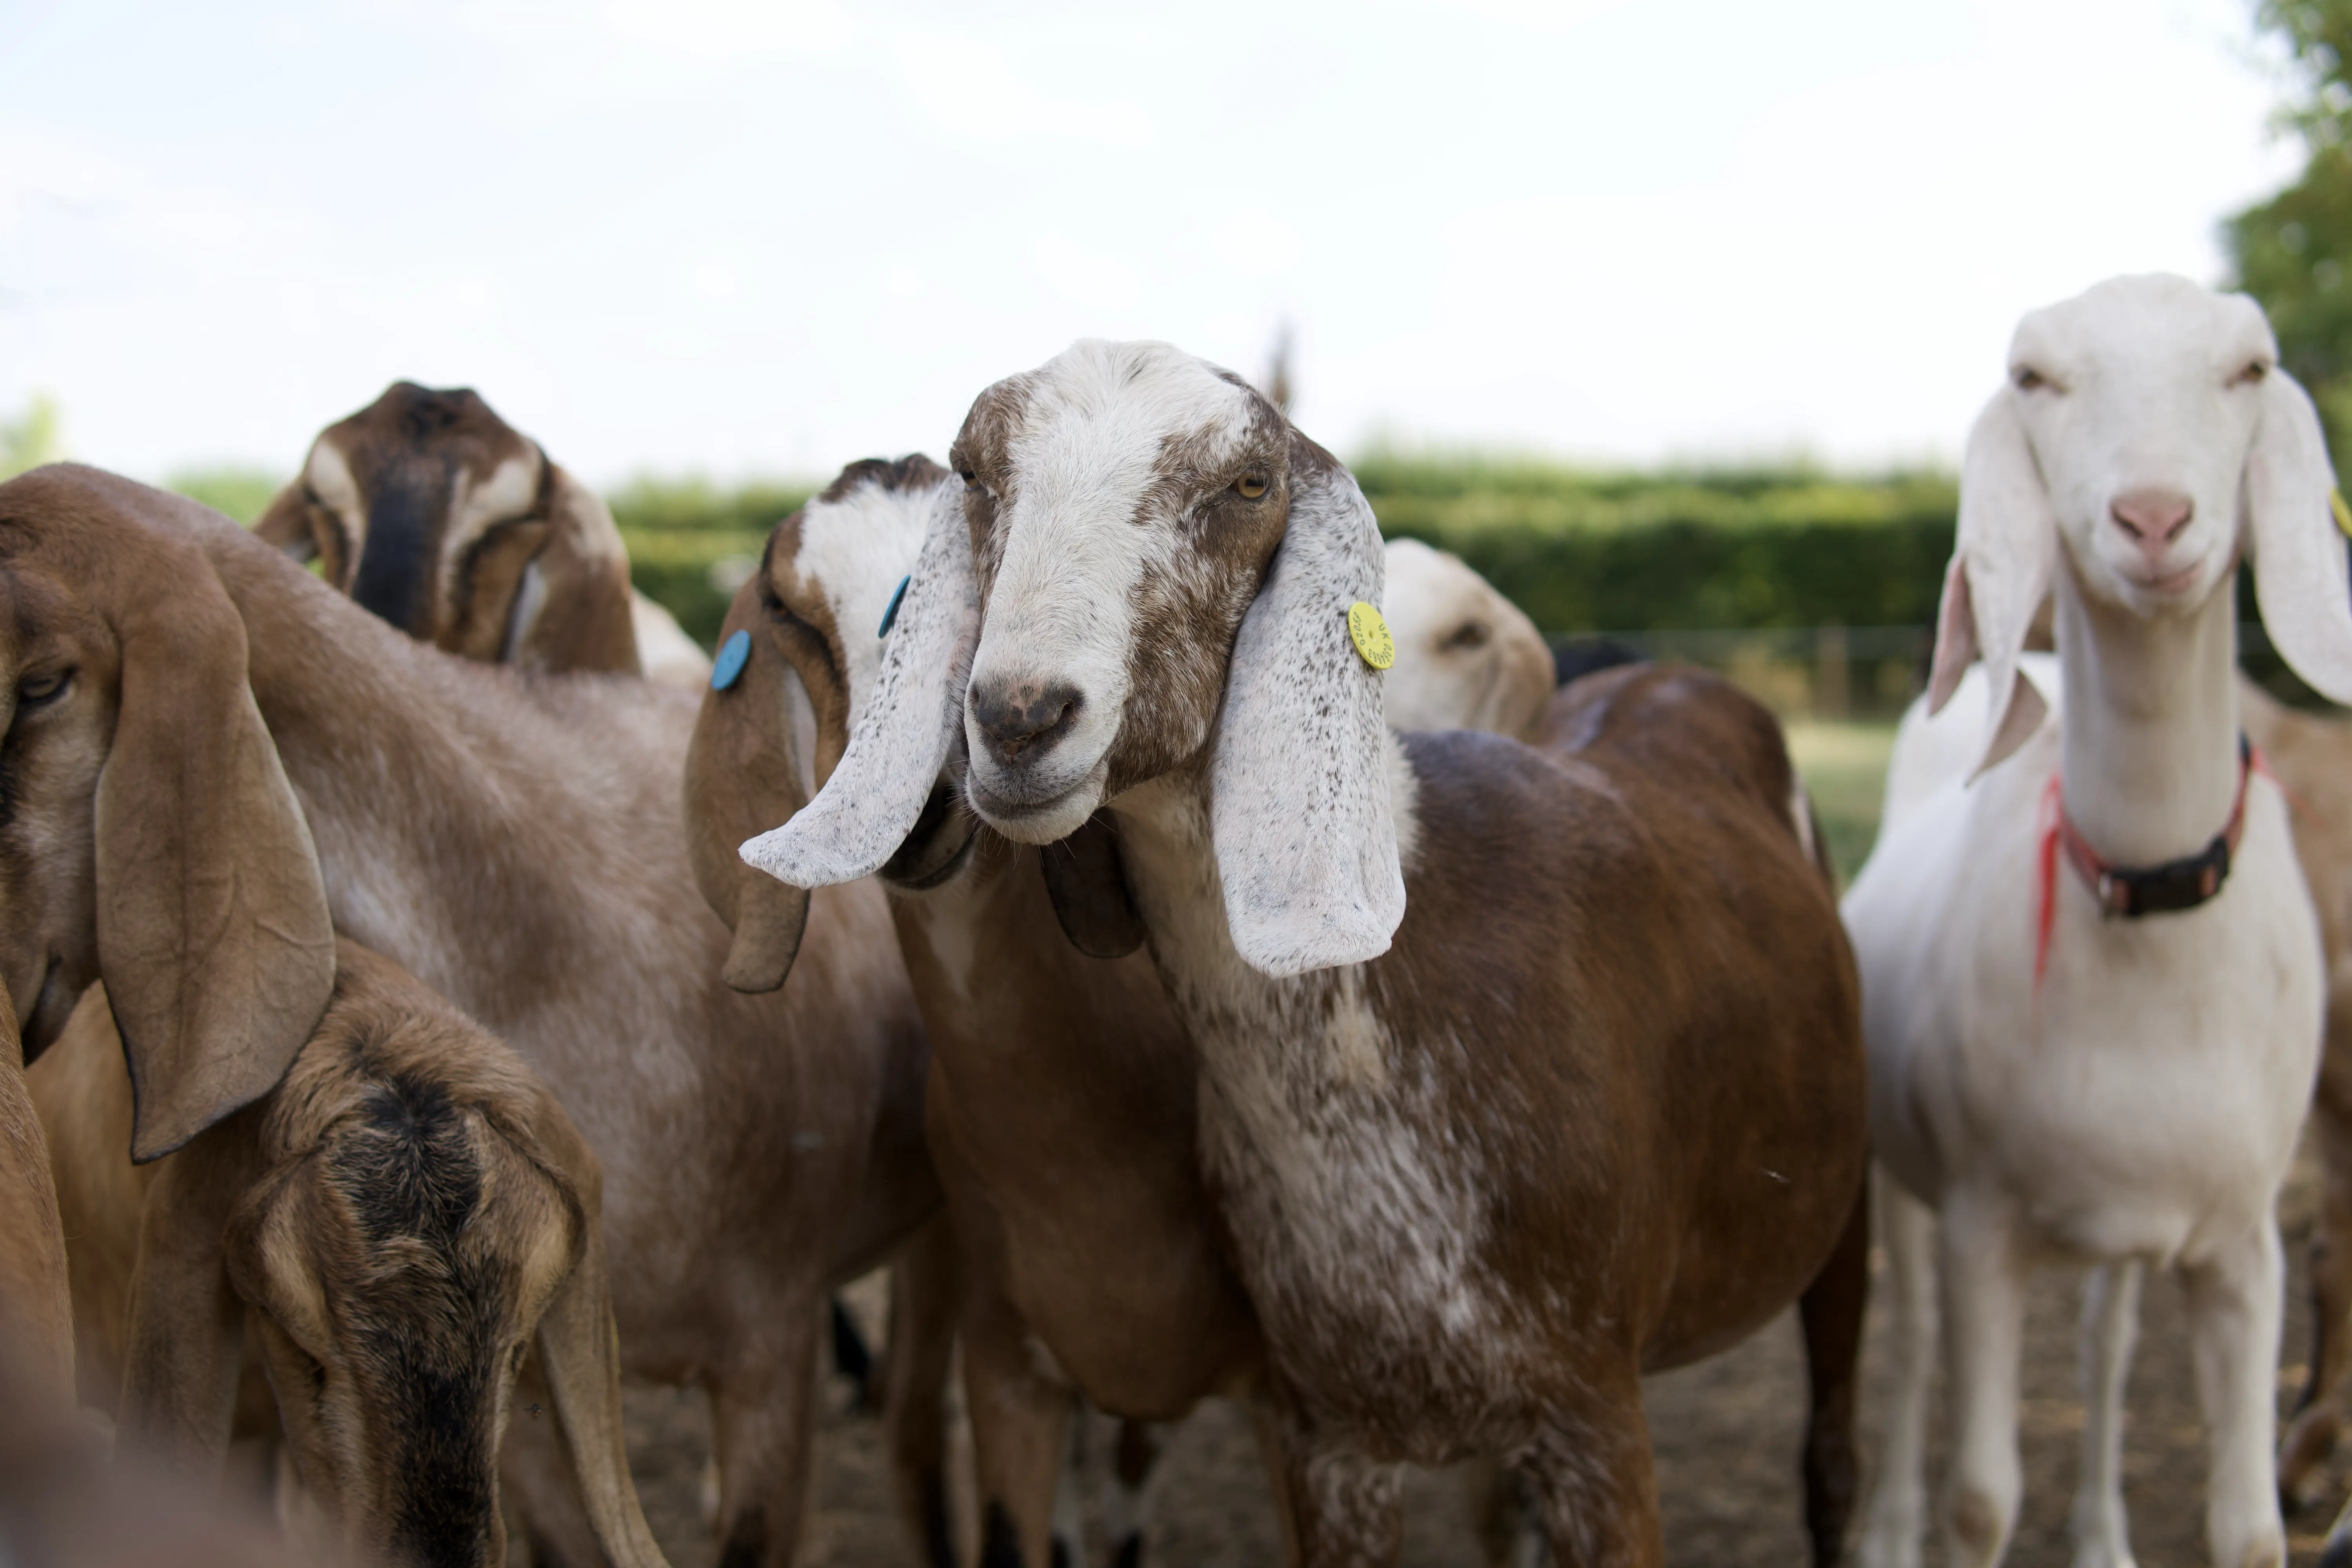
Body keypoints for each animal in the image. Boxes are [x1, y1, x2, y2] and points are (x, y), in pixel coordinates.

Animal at [734, 340, 1872, 1566]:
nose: (1019, 717)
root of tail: (1663, 674)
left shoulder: (1595, 1421)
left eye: (1249, 484)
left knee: (1832, 1461)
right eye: (977, 472)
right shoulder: (1334, 1435)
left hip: (1838, 1215)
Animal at [1843, 275, 2352, 1568]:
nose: (2154, 519)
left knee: (2106, 1351)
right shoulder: (1982, 1224)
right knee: (1908, 1340)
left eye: (2249, 367)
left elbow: (2246, 1527)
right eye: (2033, 379)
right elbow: (1981, 1495)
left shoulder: (2241, 1243)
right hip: (1899, 1171)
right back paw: (1887, 1526)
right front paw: (1939, 1521)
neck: (2144, 906)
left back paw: (2103, 1534)